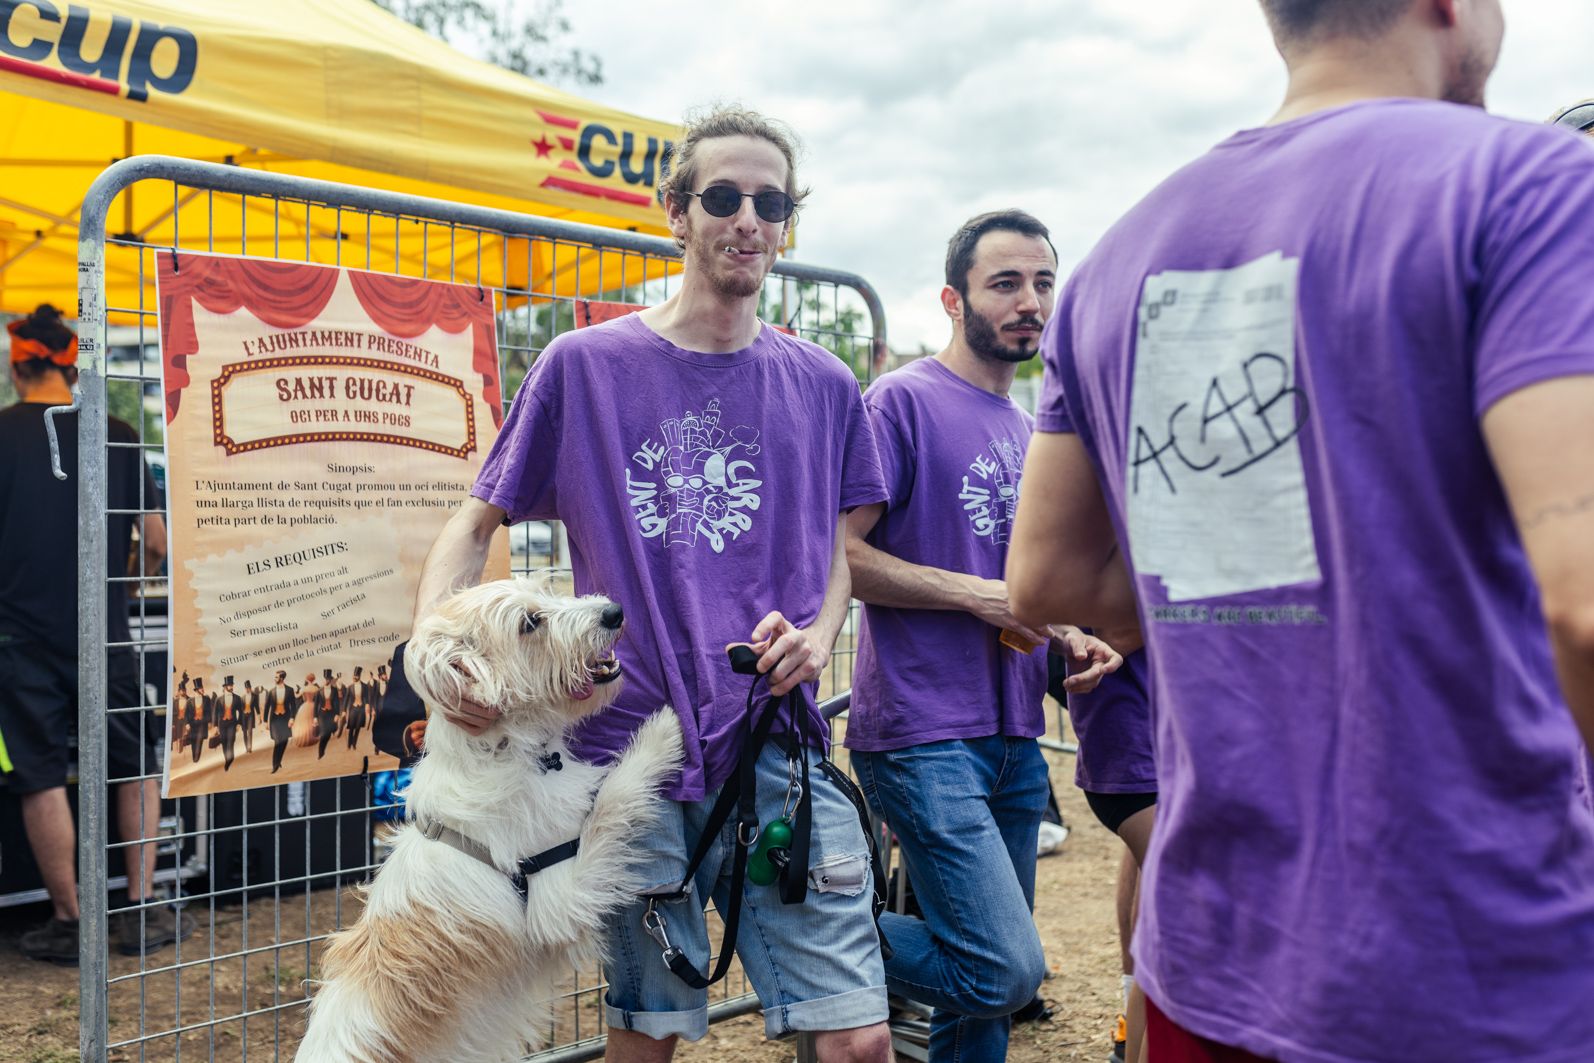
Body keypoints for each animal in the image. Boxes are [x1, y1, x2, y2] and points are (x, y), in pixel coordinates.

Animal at [299, 576, 685, 1058]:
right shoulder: (559, 898)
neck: (509, 752)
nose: (614, 612)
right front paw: (664, 731)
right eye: (529, 623)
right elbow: (614, 798)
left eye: (545, 592)